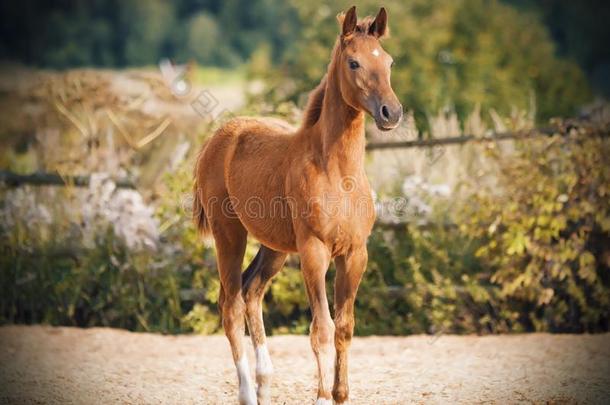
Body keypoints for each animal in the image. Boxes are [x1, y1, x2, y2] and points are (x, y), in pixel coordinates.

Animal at [192, 6, 402, 404]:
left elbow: (345, 327)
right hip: (230, 236)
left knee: (251, 291)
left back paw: (265, 382)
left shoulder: (355, 253)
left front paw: (340, 394)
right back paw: (248, 393)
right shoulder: (314, 251)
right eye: (353, 62)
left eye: (389, 61)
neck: (339, 173)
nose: (391, 113)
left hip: (273, 246)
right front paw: (321, 396)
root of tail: (217, 139)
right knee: (231, 305)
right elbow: (321, 328)